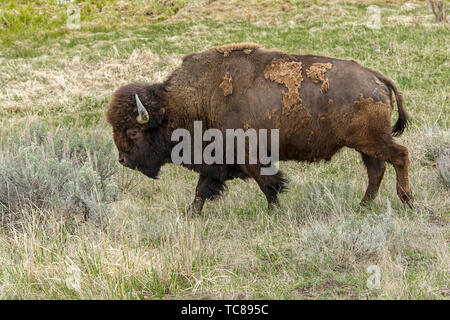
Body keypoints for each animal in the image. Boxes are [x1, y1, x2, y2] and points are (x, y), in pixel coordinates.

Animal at [107, 42, 414, 215]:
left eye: (132, 132)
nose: (122, 160)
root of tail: (376, 77)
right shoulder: (216, 161)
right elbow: (201, 190)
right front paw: (191, 214)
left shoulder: (249, 156)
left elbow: (268, 184)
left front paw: (275, 212)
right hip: (366, 146)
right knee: (376, 171)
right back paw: (363, 207)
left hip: (371, 141)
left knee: (399, 156)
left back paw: (407, 201)